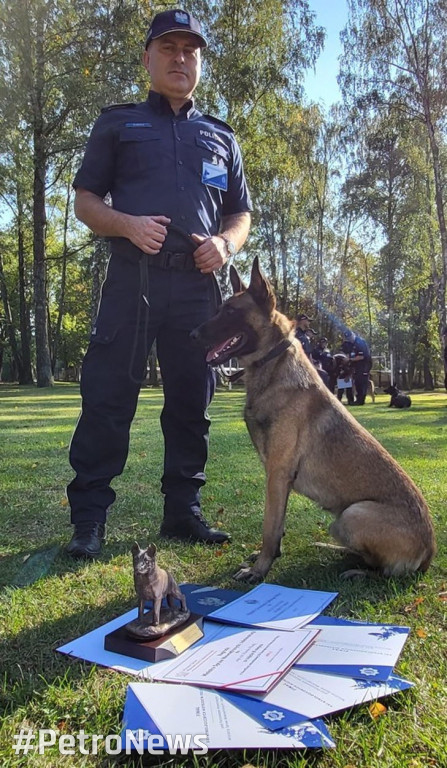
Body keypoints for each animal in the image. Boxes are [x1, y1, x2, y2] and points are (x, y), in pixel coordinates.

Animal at [192, 258, 438, 584]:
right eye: (221, 308)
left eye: (231, 311)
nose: (192, 335)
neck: (273, 365)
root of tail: (429, 554)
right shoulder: (278, 479)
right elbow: (278, 526)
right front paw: (267, 558)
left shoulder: (277, 474)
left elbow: (269, 528)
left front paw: (259, 570)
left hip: (352, 514)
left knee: (385, 572)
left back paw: (356, 571)